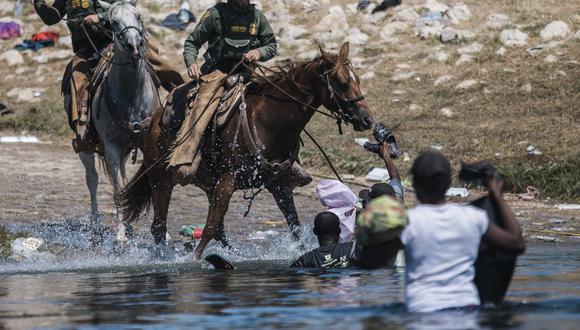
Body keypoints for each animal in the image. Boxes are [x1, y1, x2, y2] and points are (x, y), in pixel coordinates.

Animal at [78, 0, 159, 242]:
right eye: (114, 22)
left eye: (138, 16)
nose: (134, 45)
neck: (132, 96)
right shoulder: (111, 147)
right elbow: (117, 189)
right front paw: (121, 234)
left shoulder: (147, 143)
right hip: (87, 148)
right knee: (92, 179)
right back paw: (97, 224)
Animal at [116, 42, 376, 258]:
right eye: (343, 83)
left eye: (357, 80)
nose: (367, 120)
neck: (268, 121)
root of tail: (154, 120)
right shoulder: (228, 181)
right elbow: (209, 228)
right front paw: (195, 260)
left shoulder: (280, 184)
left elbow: (294, 226)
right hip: (161, 180)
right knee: (159, 226)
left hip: (208, 184)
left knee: (218, 230)